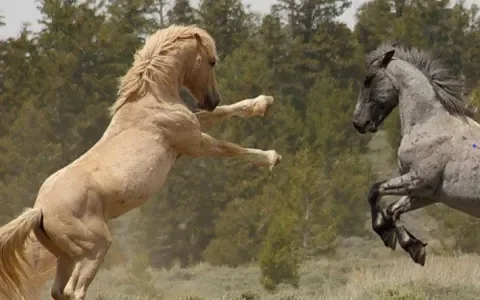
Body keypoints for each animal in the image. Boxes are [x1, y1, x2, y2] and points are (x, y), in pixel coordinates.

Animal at [0, 24, 282, 298]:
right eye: (212, 62)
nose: (212, 100)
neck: (152, 100)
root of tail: (40, 210)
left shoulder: (194, 124)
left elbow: (228, 112)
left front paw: (263, 103)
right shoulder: (193, 142)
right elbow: (231, 148)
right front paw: (271, 158)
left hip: (65, 257)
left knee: (59, 291)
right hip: (95, 247)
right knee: (74, 290)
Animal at [352, 43, 480, 266]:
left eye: (368, 79)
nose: (358, 122)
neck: (429, 123)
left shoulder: (419, 180)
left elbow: (376, 191)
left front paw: (391, 235)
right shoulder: (428, 193)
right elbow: (393, 209)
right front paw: (414, 247)